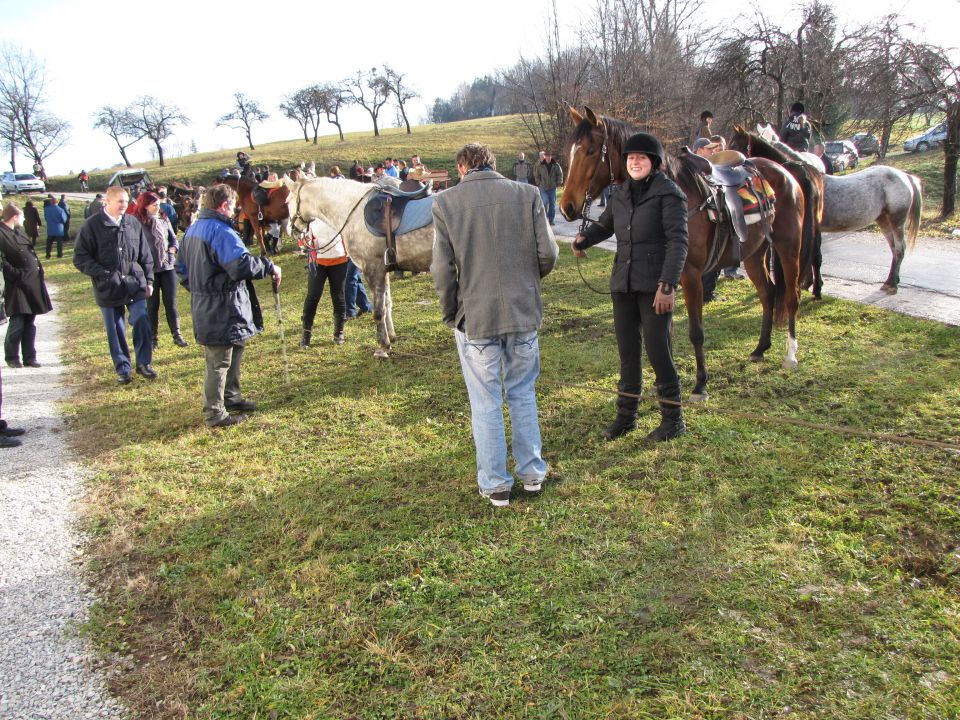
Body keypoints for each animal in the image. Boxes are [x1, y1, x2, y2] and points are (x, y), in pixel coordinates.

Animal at [280, 177, 434, 358]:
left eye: (286, 201)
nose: (291, 230)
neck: (352, 211)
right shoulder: (384, 270)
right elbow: (388, 304)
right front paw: (392, 336)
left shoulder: (372, 270)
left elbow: (378, 311)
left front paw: (383, 346)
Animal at [560, 107, 808, 402]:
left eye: (590, 150)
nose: (566, 207)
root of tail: (784, 171)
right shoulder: (662, 283)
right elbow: (663, 336)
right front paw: (663, 385)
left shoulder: (691, 277)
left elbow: (695, 333)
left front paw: (700, 385)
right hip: (754, 254)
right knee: (768, 293)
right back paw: (760, 348)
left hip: (788, 247)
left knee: (792, 297)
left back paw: (791, 355)